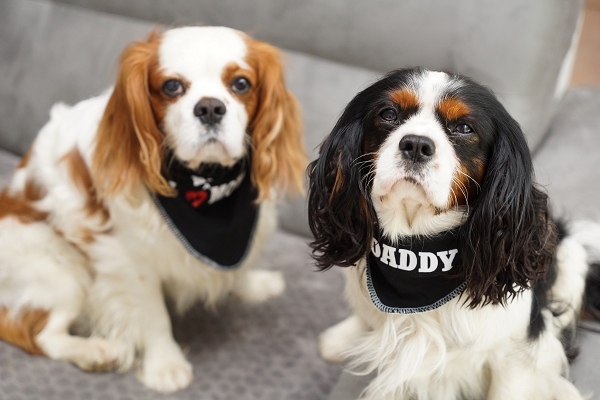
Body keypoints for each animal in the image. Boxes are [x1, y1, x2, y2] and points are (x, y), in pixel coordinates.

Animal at [0, 26, 304, 392]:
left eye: (241, 83)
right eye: (172, 86)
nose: (210, 107)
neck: (204, 186)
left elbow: (237, 264)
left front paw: (253, 285)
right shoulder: (130, 259)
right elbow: (153, 315)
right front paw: (166, 364)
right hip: (60, 270)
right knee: (35, 334)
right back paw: (95, 351)